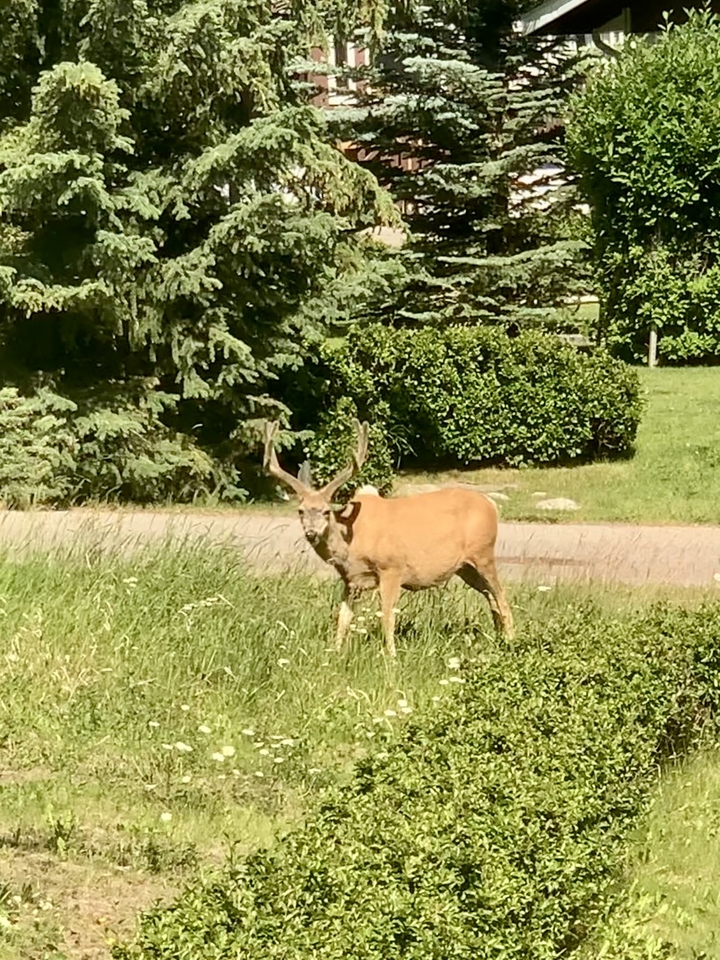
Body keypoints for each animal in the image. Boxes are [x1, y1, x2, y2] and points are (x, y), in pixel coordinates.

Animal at [263, 419, 514, 657]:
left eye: (325, 511)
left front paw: (391, 657)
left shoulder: (392, 567)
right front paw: (334, 653)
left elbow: (386, 617)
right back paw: (498, 639)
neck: (352, 542)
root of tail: (491, 504)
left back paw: (511, 643)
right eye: (301, 511)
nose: (311, 533)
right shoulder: (350, 579)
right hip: (465, 568)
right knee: (491, 598)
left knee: (502, 598)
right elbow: (343, 618)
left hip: (483, 553)